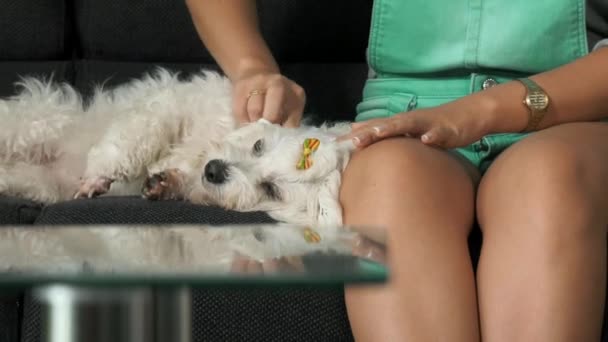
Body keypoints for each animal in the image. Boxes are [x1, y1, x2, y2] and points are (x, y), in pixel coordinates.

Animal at [0, 69, 354, 227]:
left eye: (271, 189)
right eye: (258, 146)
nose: (214, 170)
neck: (197, 153)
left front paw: (164, 184)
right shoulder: (168, 107)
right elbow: (133, 140)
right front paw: (100, 175)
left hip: (38, 183)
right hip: (37, 124)